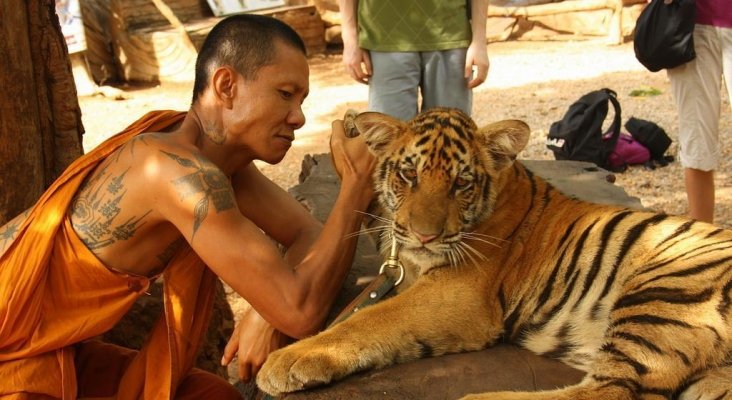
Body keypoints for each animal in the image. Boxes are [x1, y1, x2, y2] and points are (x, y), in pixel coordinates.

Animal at [256, 107, 732, 400]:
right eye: (409, 175)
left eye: (461, 183)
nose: (425, 236)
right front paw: (353, 127)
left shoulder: (459, 293)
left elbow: (374, 319)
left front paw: (286, 359)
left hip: (666, 287)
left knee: (613, 390)